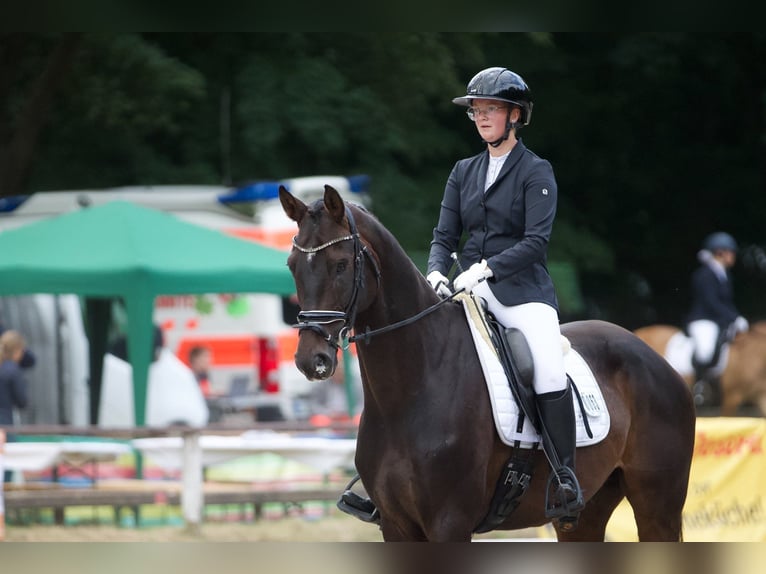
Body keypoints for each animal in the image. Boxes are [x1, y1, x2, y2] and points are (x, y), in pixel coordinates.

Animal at [279, 184, 696, 542]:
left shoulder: (449, 523)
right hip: (584, 513)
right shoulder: (396, 526)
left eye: (340, 264)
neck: (410, 392)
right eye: (291, 265)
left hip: (657, 506)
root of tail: (657, 358)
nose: (311, 360)